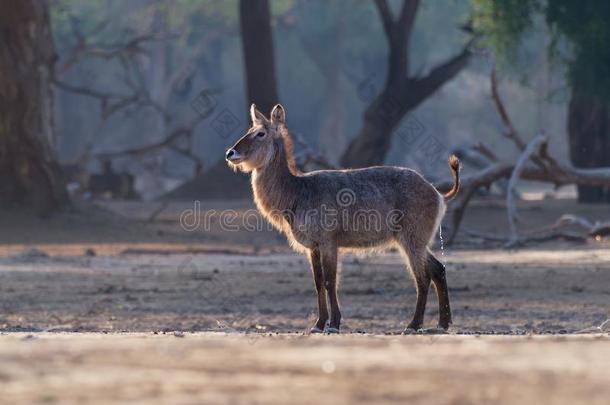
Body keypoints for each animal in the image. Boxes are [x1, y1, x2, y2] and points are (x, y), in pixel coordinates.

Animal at [226, 104, 458, 334]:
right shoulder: (313, 247)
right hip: (417, 241)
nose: (230, 152)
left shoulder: (328, 242)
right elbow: (318, 282)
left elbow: (330, 281)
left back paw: (413, 325)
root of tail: (438, 193)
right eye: (249, 130)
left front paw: (334, 324)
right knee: (438, 269)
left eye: (260, 133)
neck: (297, 192)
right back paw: (442, 323)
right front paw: (318, 324)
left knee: (423, 278)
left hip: (412, 239)